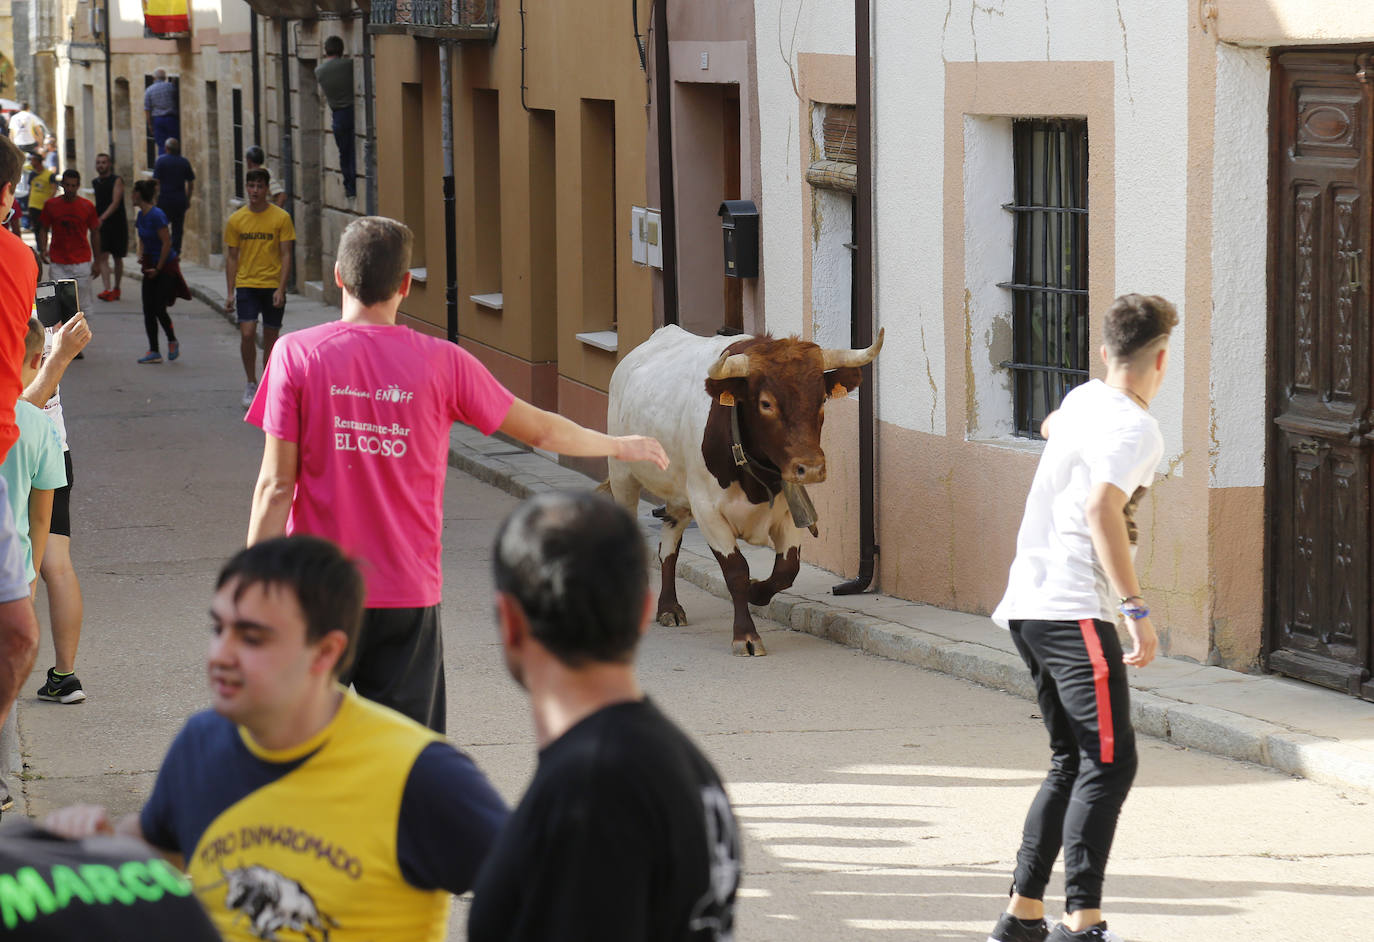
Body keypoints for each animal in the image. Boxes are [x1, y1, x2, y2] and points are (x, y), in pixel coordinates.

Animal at [607, 324, 884, 656]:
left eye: (822, 400)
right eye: (766, 403)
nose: (811, 468)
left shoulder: (789, 511)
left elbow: (787, 569)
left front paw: (757, 591)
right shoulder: (708, 511)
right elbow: (736, 571)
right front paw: (746, 635)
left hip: (678, 494)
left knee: (669, 545)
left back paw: (669, 607)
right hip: (622, 476)